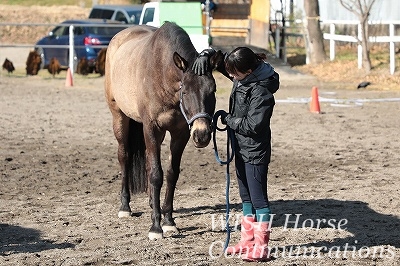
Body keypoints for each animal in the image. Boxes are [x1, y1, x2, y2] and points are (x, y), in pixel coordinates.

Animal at [104, 21, 223, 240]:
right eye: (185, 91)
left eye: (213, 91)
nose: (202, 135)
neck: (163, 74)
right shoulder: (152, 128)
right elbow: (156, 175)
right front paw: (156, 227)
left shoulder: (180, 133)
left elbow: (170, 173)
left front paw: (168, 221)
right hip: (119, 118)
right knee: (124, 156)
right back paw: (125, 207)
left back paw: (153, 203)